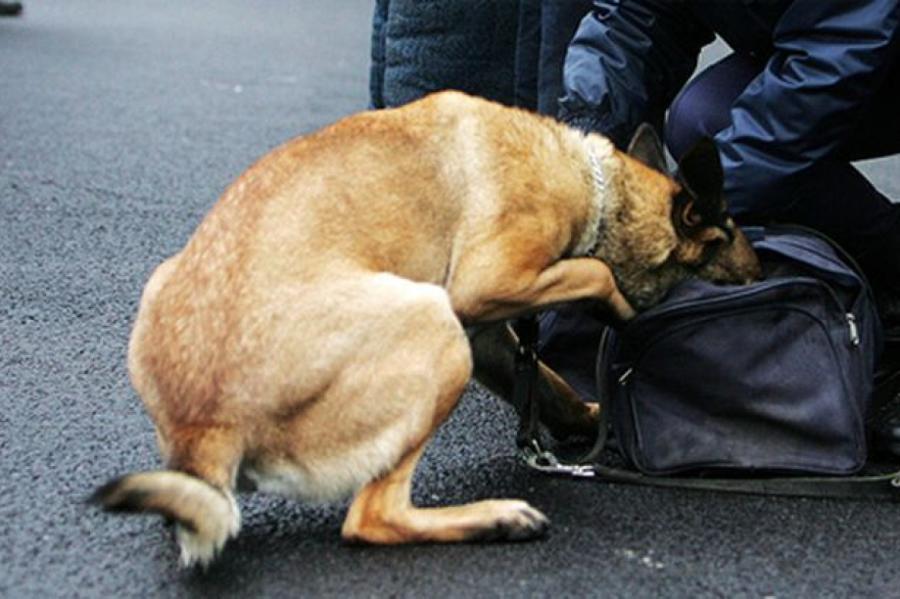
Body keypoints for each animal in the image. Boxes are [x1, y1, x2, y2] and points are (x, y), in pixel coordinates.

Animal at [93, 90, 760, 568]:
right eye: (729, 238)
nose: (767, 269)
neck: (596, 186)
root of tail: (205, 426)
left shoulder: (488, 337)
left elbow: (547, 381)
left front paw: (587, 418)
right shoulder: (483, 286)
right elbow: (595, 273)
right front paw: (619, 309)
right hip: (434, 327)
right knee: (371, 518)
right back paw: (496, 518)